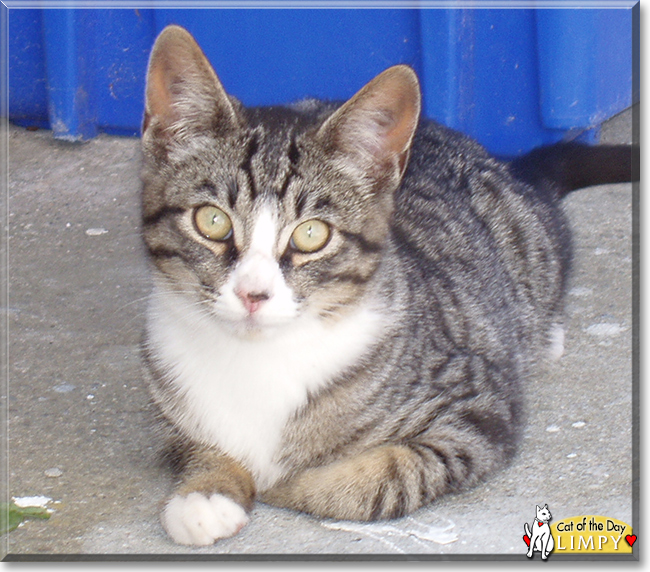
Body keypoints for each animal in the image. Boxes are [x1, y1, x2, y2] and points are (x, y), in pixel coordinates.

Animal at [138, 25, 632, 544]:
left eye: (311, 234)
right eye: (211, 221)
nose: (253, 294)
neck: (256, 359)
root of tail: (502, 162)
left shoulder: (477, 406)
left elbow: (378, 480)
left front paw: (283, 481)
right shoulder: (164, 394)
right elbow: (187, 442)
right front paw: (203, 489)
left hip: (526, 242)